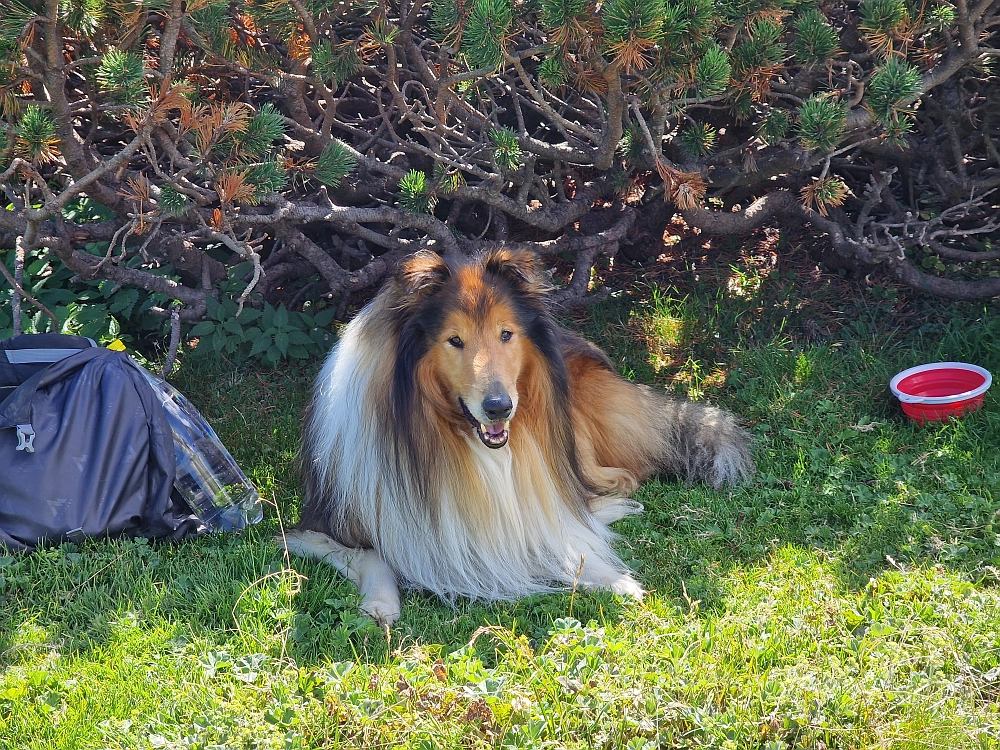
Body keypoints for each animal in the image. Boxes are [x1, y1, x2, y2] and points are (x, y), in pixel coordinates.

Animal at [280, 250, 752, 624]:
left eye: (505, 333)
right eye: (454, 340)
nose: (498, 408)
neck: (446, 438)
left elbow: (558, 535)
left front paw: (616, 579)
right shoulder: (316, 527)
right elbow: (373, 554)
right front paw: (380, 603)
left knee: (614, 479)